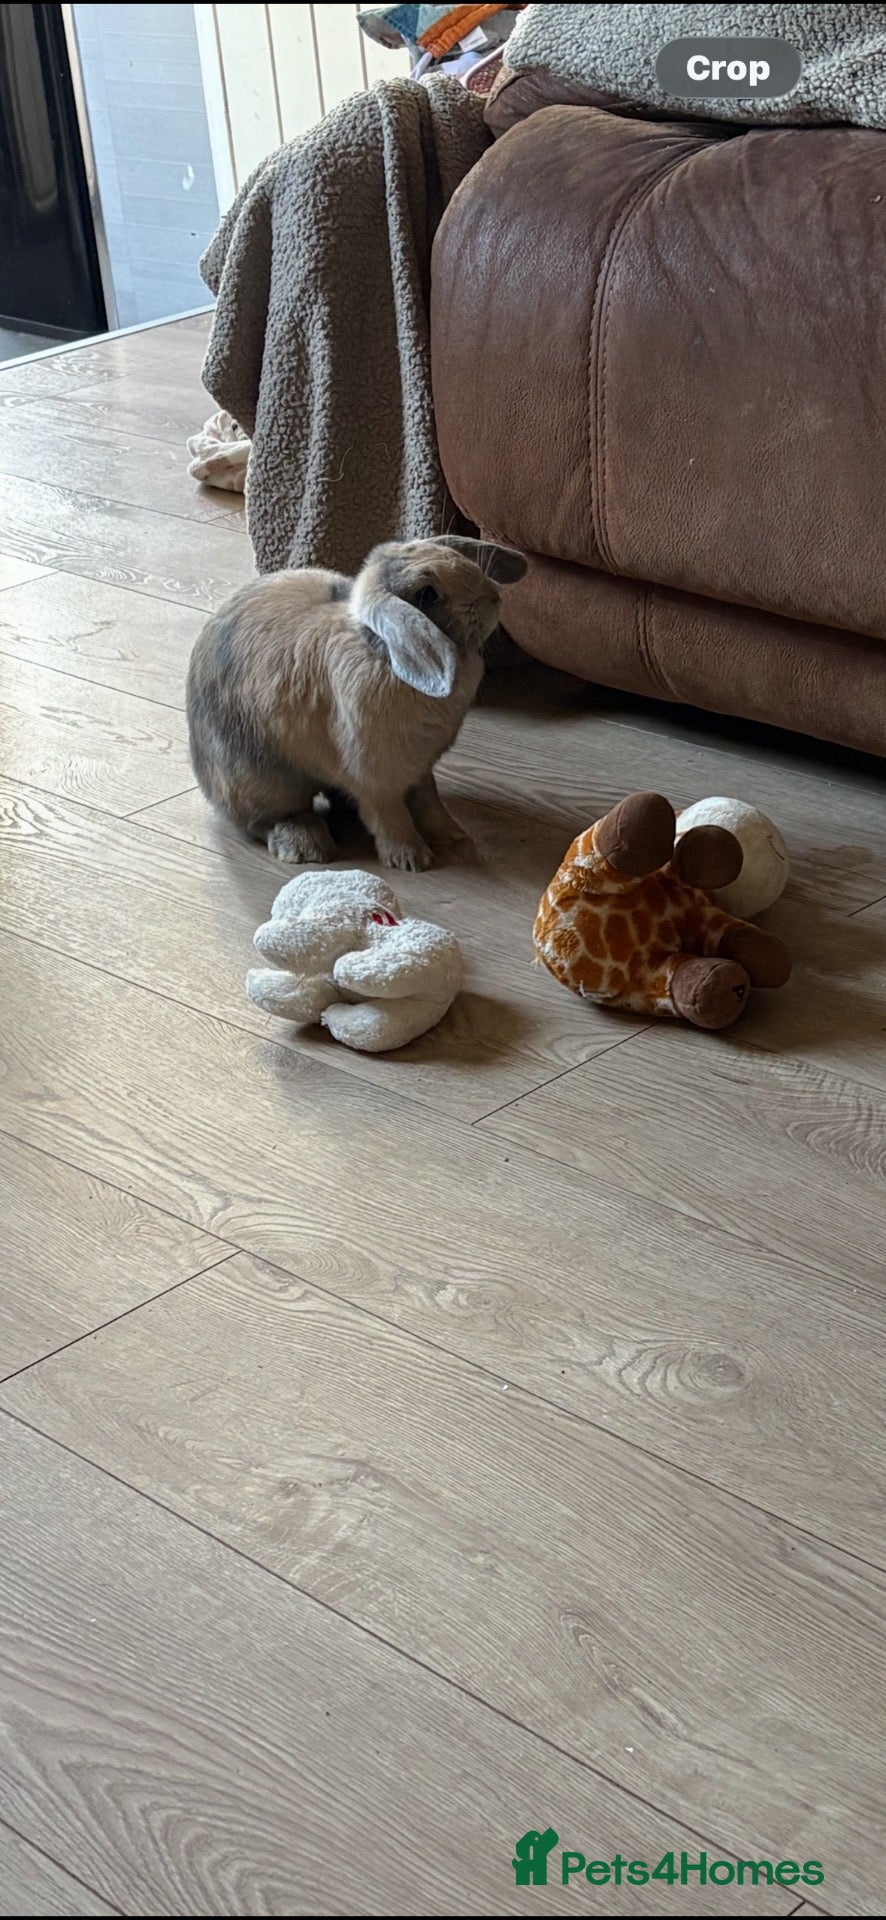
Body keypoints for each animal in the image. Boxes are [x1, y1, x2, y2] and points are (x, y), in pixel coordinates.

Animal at [186, 533, 527, 870]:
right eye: (428, 594)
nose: (494, 596)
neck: (385, 654)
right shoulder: (376, 776)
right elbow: (389, 815)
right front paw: (411, 858)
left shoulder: (421, 768)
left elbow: (429, 801)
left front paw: (454, 838)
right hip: (264, 779)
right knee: (266, 820)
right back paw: (308, 845)